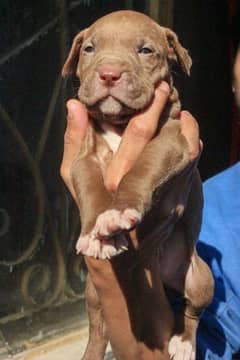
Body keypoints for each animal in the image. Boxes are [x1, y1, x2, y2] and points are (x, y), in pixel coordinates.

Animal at [62, 10, 214, 360]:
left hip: (200, 278)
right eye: (89, 49)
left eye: (145, 51)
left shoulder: (172, 139)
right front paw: (95, 232)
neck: (120, 124)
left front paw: (119, 212)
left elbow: (142, 169)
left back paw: (184, 344)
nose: (108, 74)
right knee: (98, 327)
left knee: (192, 311)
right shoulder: (83, 157)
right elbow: (91, 189)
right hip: (93, 292)